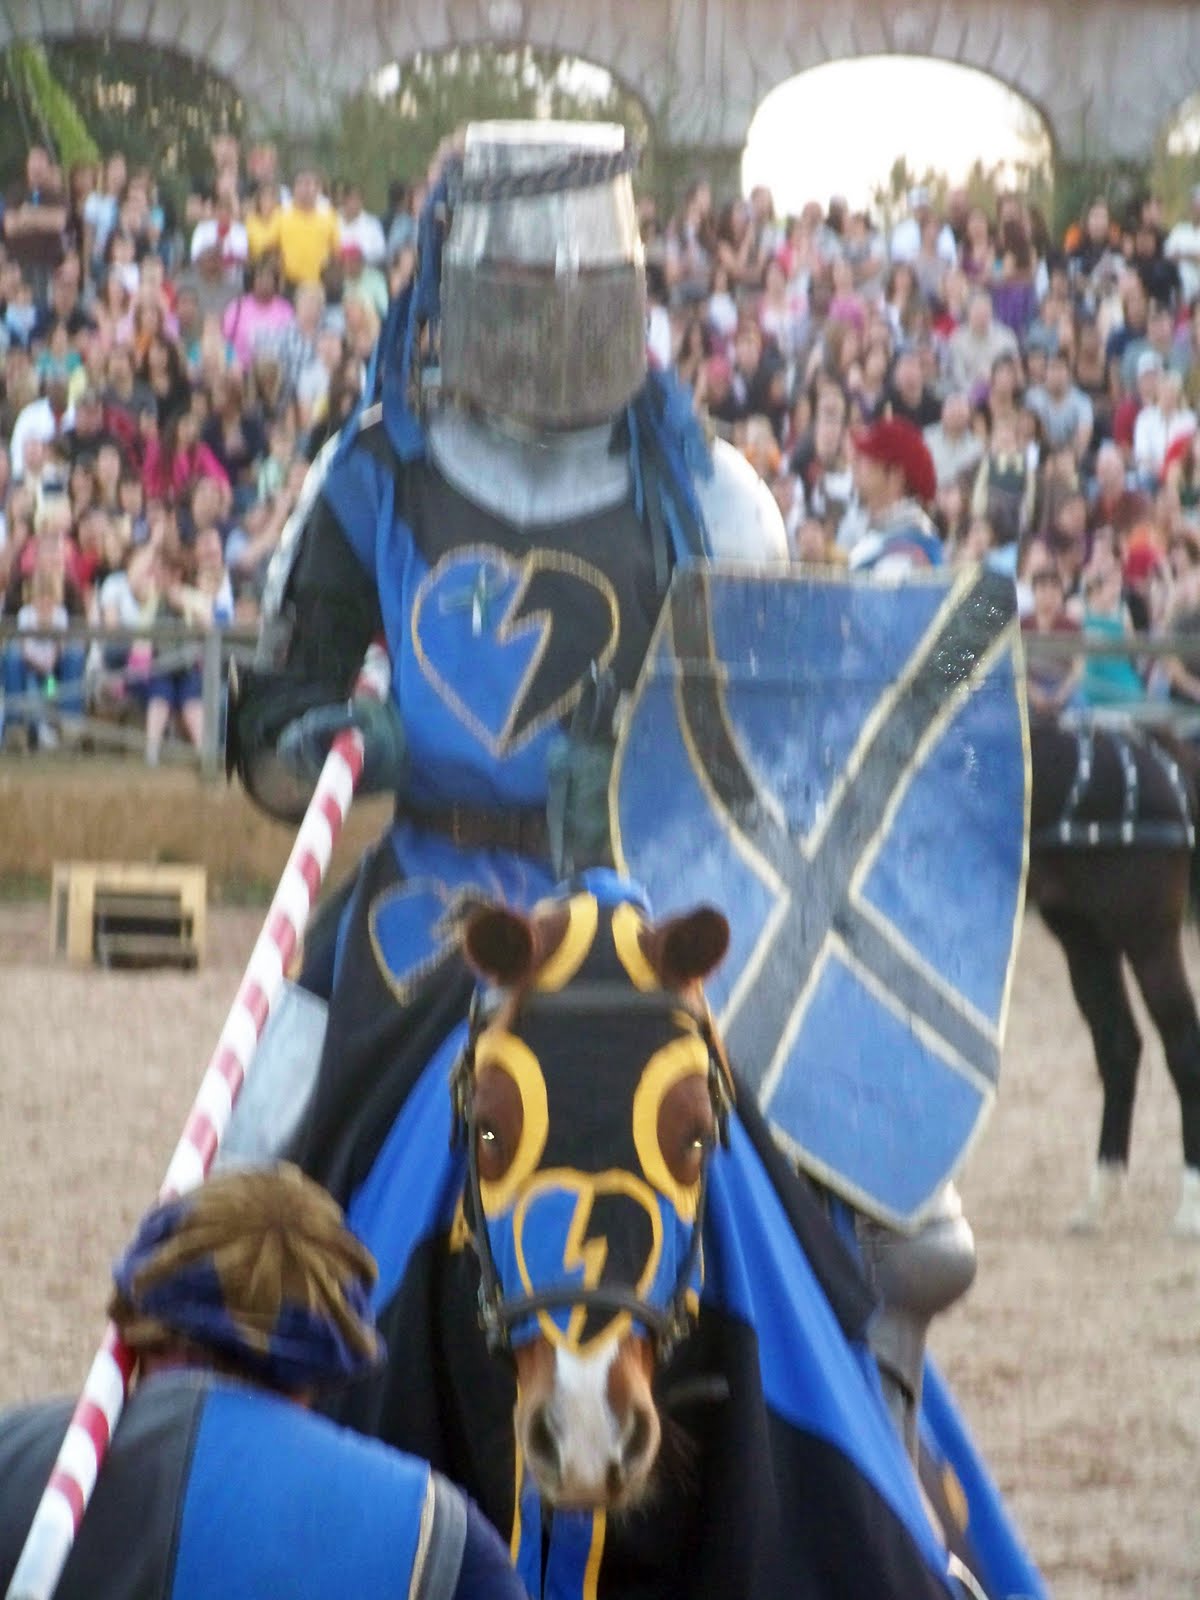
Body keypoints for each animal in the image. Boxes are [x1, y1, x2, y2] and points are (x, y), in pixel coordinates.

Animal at [1026, 716, 1200, 1234]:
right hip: (1085, 937)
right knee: (1120, 1046)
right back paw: (1099, 1197)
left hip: (1147, 936)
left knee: (1182, 1044)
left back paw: (1190, 1203)